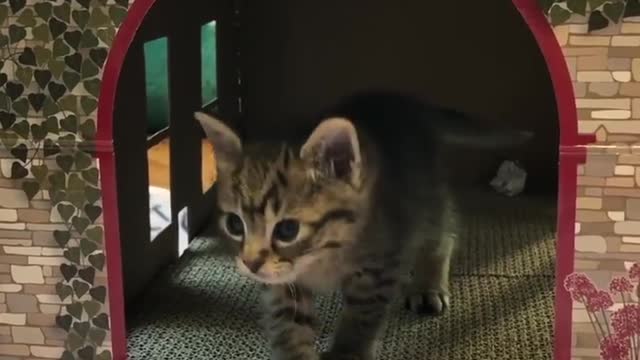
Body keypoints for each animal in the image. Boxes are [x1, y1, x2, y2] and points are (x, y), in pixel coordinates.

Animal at [194, 91, 528, 358]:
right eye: (235, 224)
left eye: (287, 230)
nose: (250, 264)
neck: (323, 256)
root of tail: (409, 102)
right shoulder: (282, 285)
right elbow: (289, 327)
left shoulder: (380, 267)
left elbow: (361, 320)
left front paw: (347, 352)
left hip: (424, 200)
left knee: (443, 233)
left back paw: (429, 284)